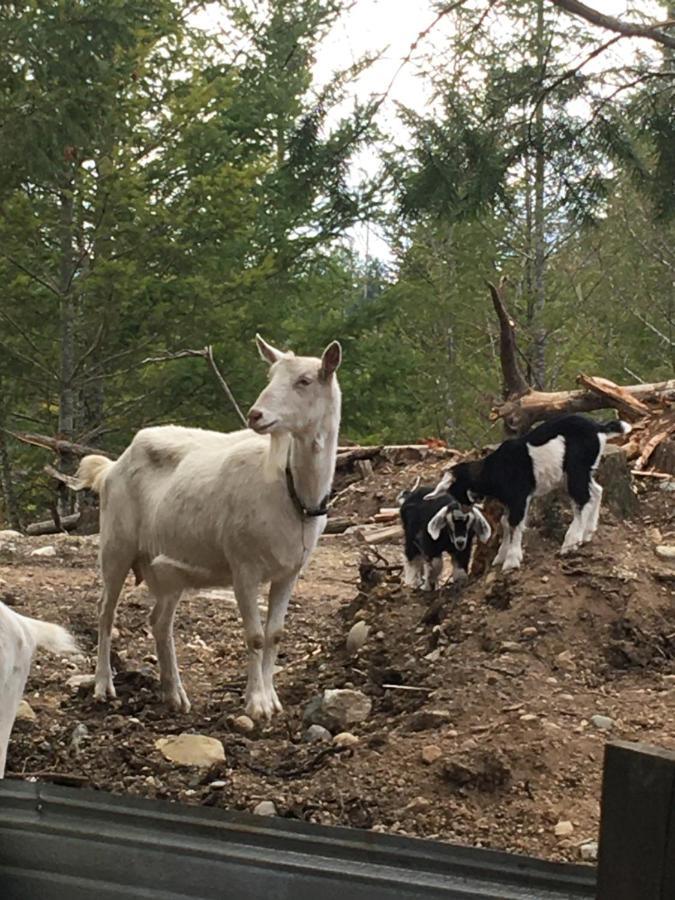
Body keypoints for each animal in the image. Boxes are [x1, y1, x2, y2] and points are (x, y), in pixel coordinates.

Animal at [76, 334, 340, 720]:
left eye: (304, 380)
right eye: (270, 375)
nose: (256, 415)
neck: (290, 488)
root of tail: (111, 467)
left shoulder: (290, 570)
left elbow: (275, 633)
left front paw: (272, 700)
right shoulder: (243, 566)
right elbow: (255, 635)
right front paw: (256, 704)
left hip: (165, 567)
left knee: (159, 621)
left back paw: (175, 695)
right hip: (115, 544)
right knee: (105, 610)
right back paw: (103, 686)